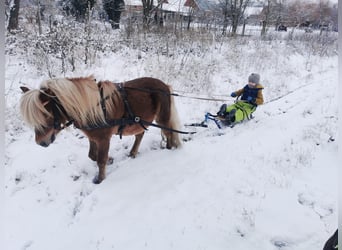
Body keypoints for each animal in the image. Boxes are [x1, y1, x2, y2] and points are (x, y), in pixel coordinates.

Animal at [19, 76, 182, 184]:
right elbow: (93, 155)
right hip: (139, 121)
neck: (93, 108)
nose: (41, 142)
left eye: (46, 114)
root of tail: (164, 85)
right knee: (140, 135)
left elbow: (100, 160)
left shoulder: (104, 139)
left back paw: (169, 148)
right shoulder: (93, 137)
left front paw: (100, 179)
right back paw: (133, 152)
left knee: (169, 132)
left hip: (162, 118)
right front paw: (110, 159)